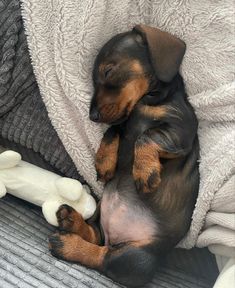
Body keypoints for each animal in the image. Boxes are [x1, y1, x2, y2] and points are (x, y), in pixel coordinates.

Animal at [48, 25, 199, 288]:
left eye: (108, 71)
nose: (93, 116)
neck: (147, 100)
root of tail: (114, 239)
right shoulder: (124, 122)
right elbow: (113, 131)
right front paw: (104, 163)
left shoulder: (181, 130)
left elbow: (145, 136)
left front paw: (145, 171)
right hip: (101, 220)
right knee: (95, 235)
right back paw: (71, 221)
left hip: (134, 257)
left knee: (102, 257)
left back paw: (69, 244)